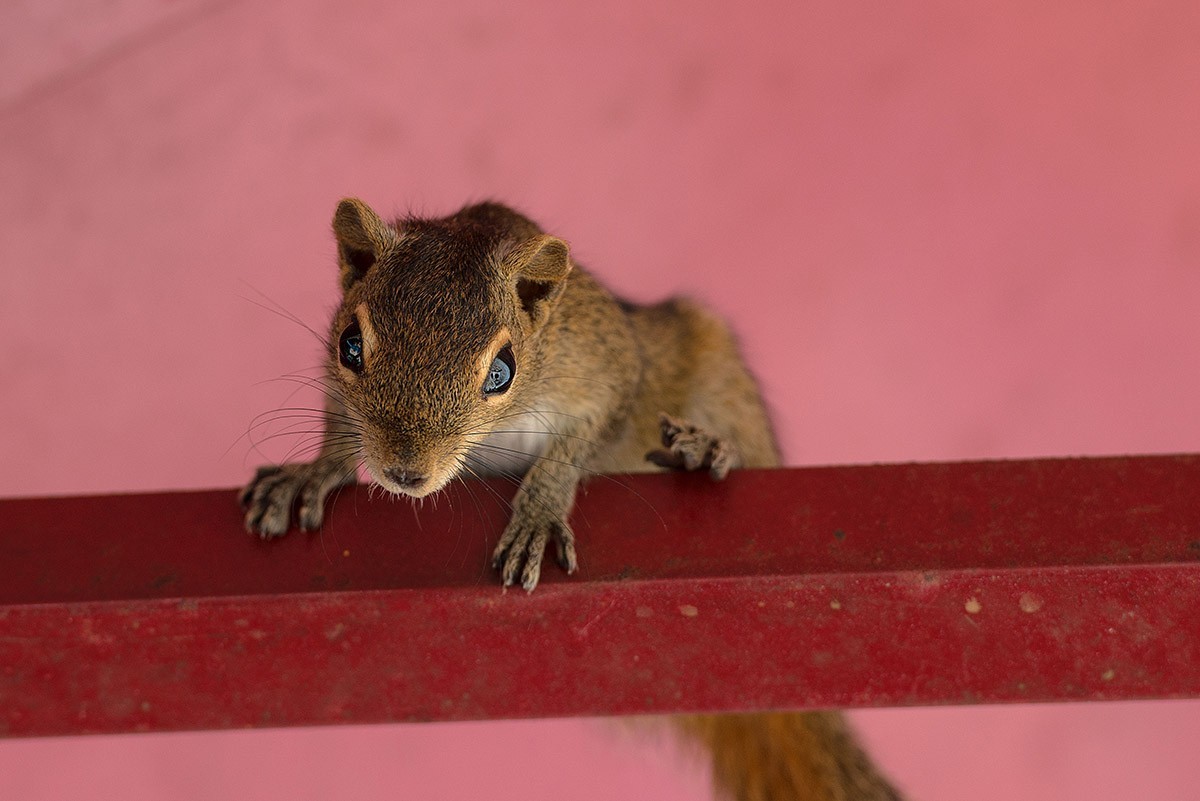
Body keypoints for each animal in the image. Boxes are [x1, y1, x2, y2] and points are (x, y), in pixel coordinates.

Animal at [240, 198, 905, 801]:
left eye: (502, 371)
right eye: (350, 345)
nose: (405, 471)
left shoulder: (606, 370)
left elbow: (575, 444)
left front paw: (537, 513)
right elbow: (337, 418)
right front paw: (316, 470)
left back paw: (705, 450)